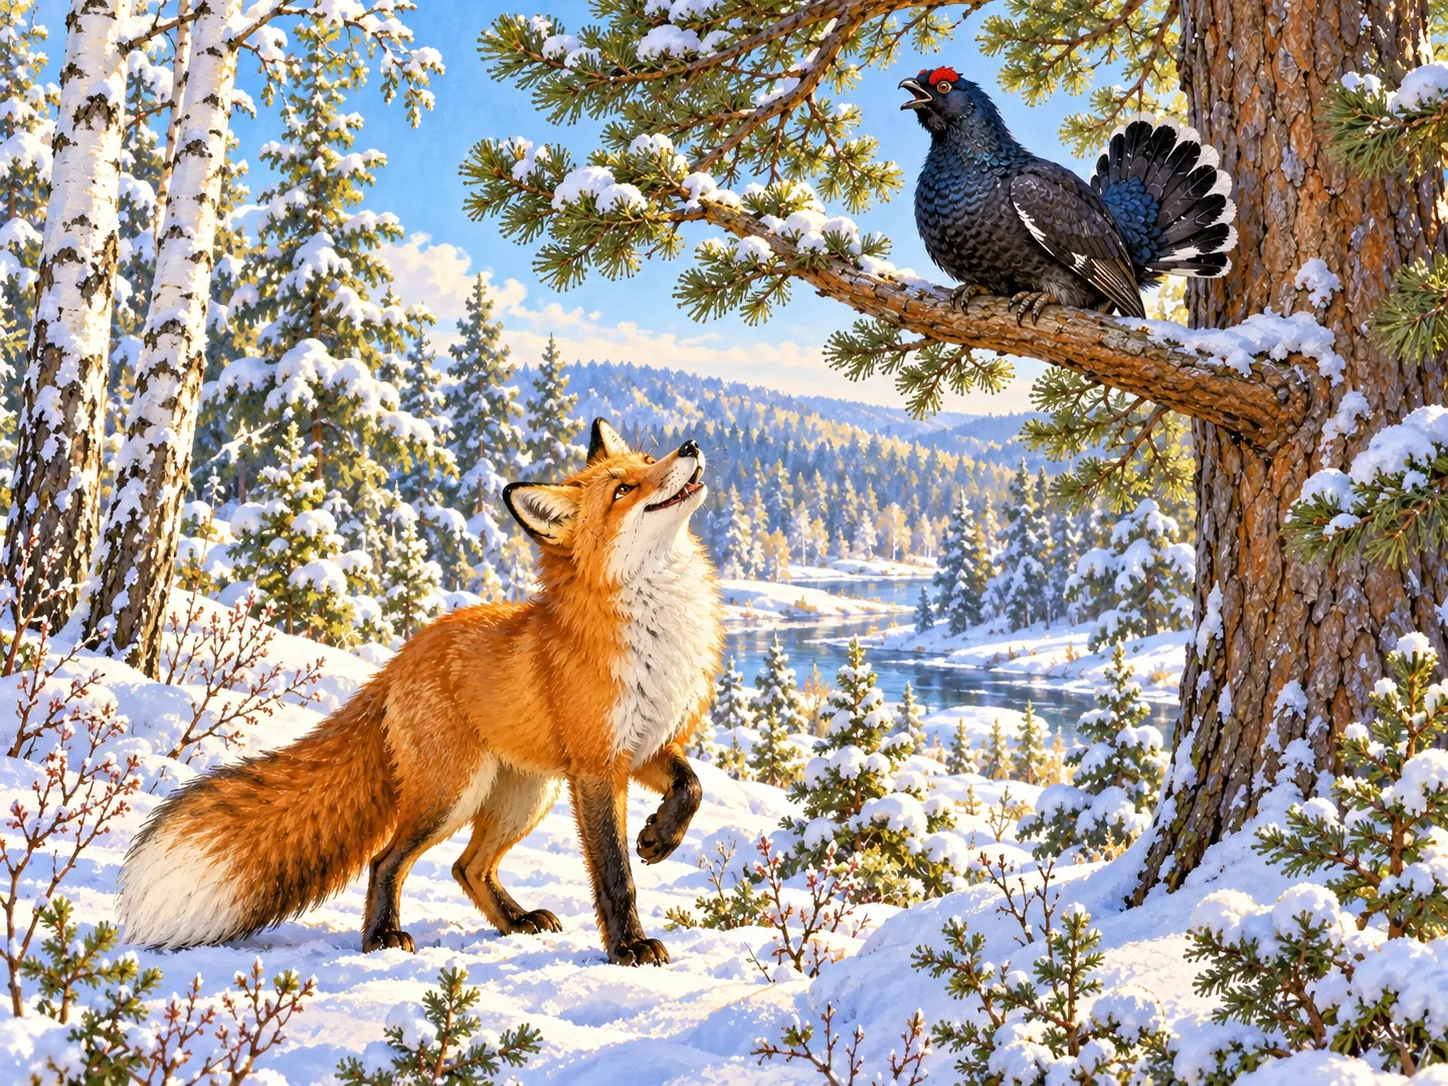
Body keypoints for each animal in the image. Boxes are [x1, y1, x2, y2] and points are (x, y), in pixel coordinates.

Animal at [118, 419, 722, 966]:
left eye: (649, 461)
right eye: (623, 490)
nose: (691, 445)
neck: (657, 630)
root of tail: (396, 662)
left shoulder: (645, 745)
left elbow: (691, 788)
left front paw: (660, 837)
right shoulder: (598, 765)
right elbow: (616, 874)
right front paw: (629, 948)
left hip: (526, 796)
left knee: (468, 867)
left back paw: (517, 921)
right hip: (451, 796)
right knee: (387, 860)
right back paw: (381, 938)